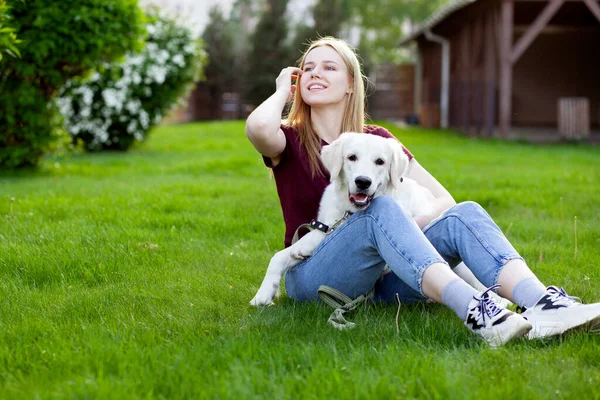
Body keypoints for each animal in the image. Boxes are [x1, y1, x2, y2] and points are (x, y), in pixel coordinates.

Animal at [251, 133, 508, 308]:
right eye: (351, 157)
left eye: (380, 162)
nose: (363, 182)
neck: (352, 212)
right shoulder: (325, 228)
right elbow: (279, 256)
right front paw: (264, 294)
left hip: (462, 268)